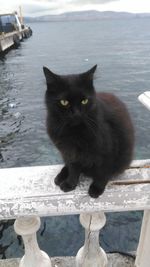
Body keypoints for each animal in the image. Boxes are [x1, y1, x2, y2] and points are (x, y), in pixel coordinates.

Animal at [42, 65, 134, 199]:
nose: (76, 113)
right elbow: (73, 169)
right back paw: (61, 176)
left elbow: (103, 172)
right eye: (64, 102)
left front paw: (97, 188)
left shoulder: (108, 150)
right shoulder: (70, 152)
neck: (74, 132)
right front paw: (70, 184)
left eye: (84, 101)